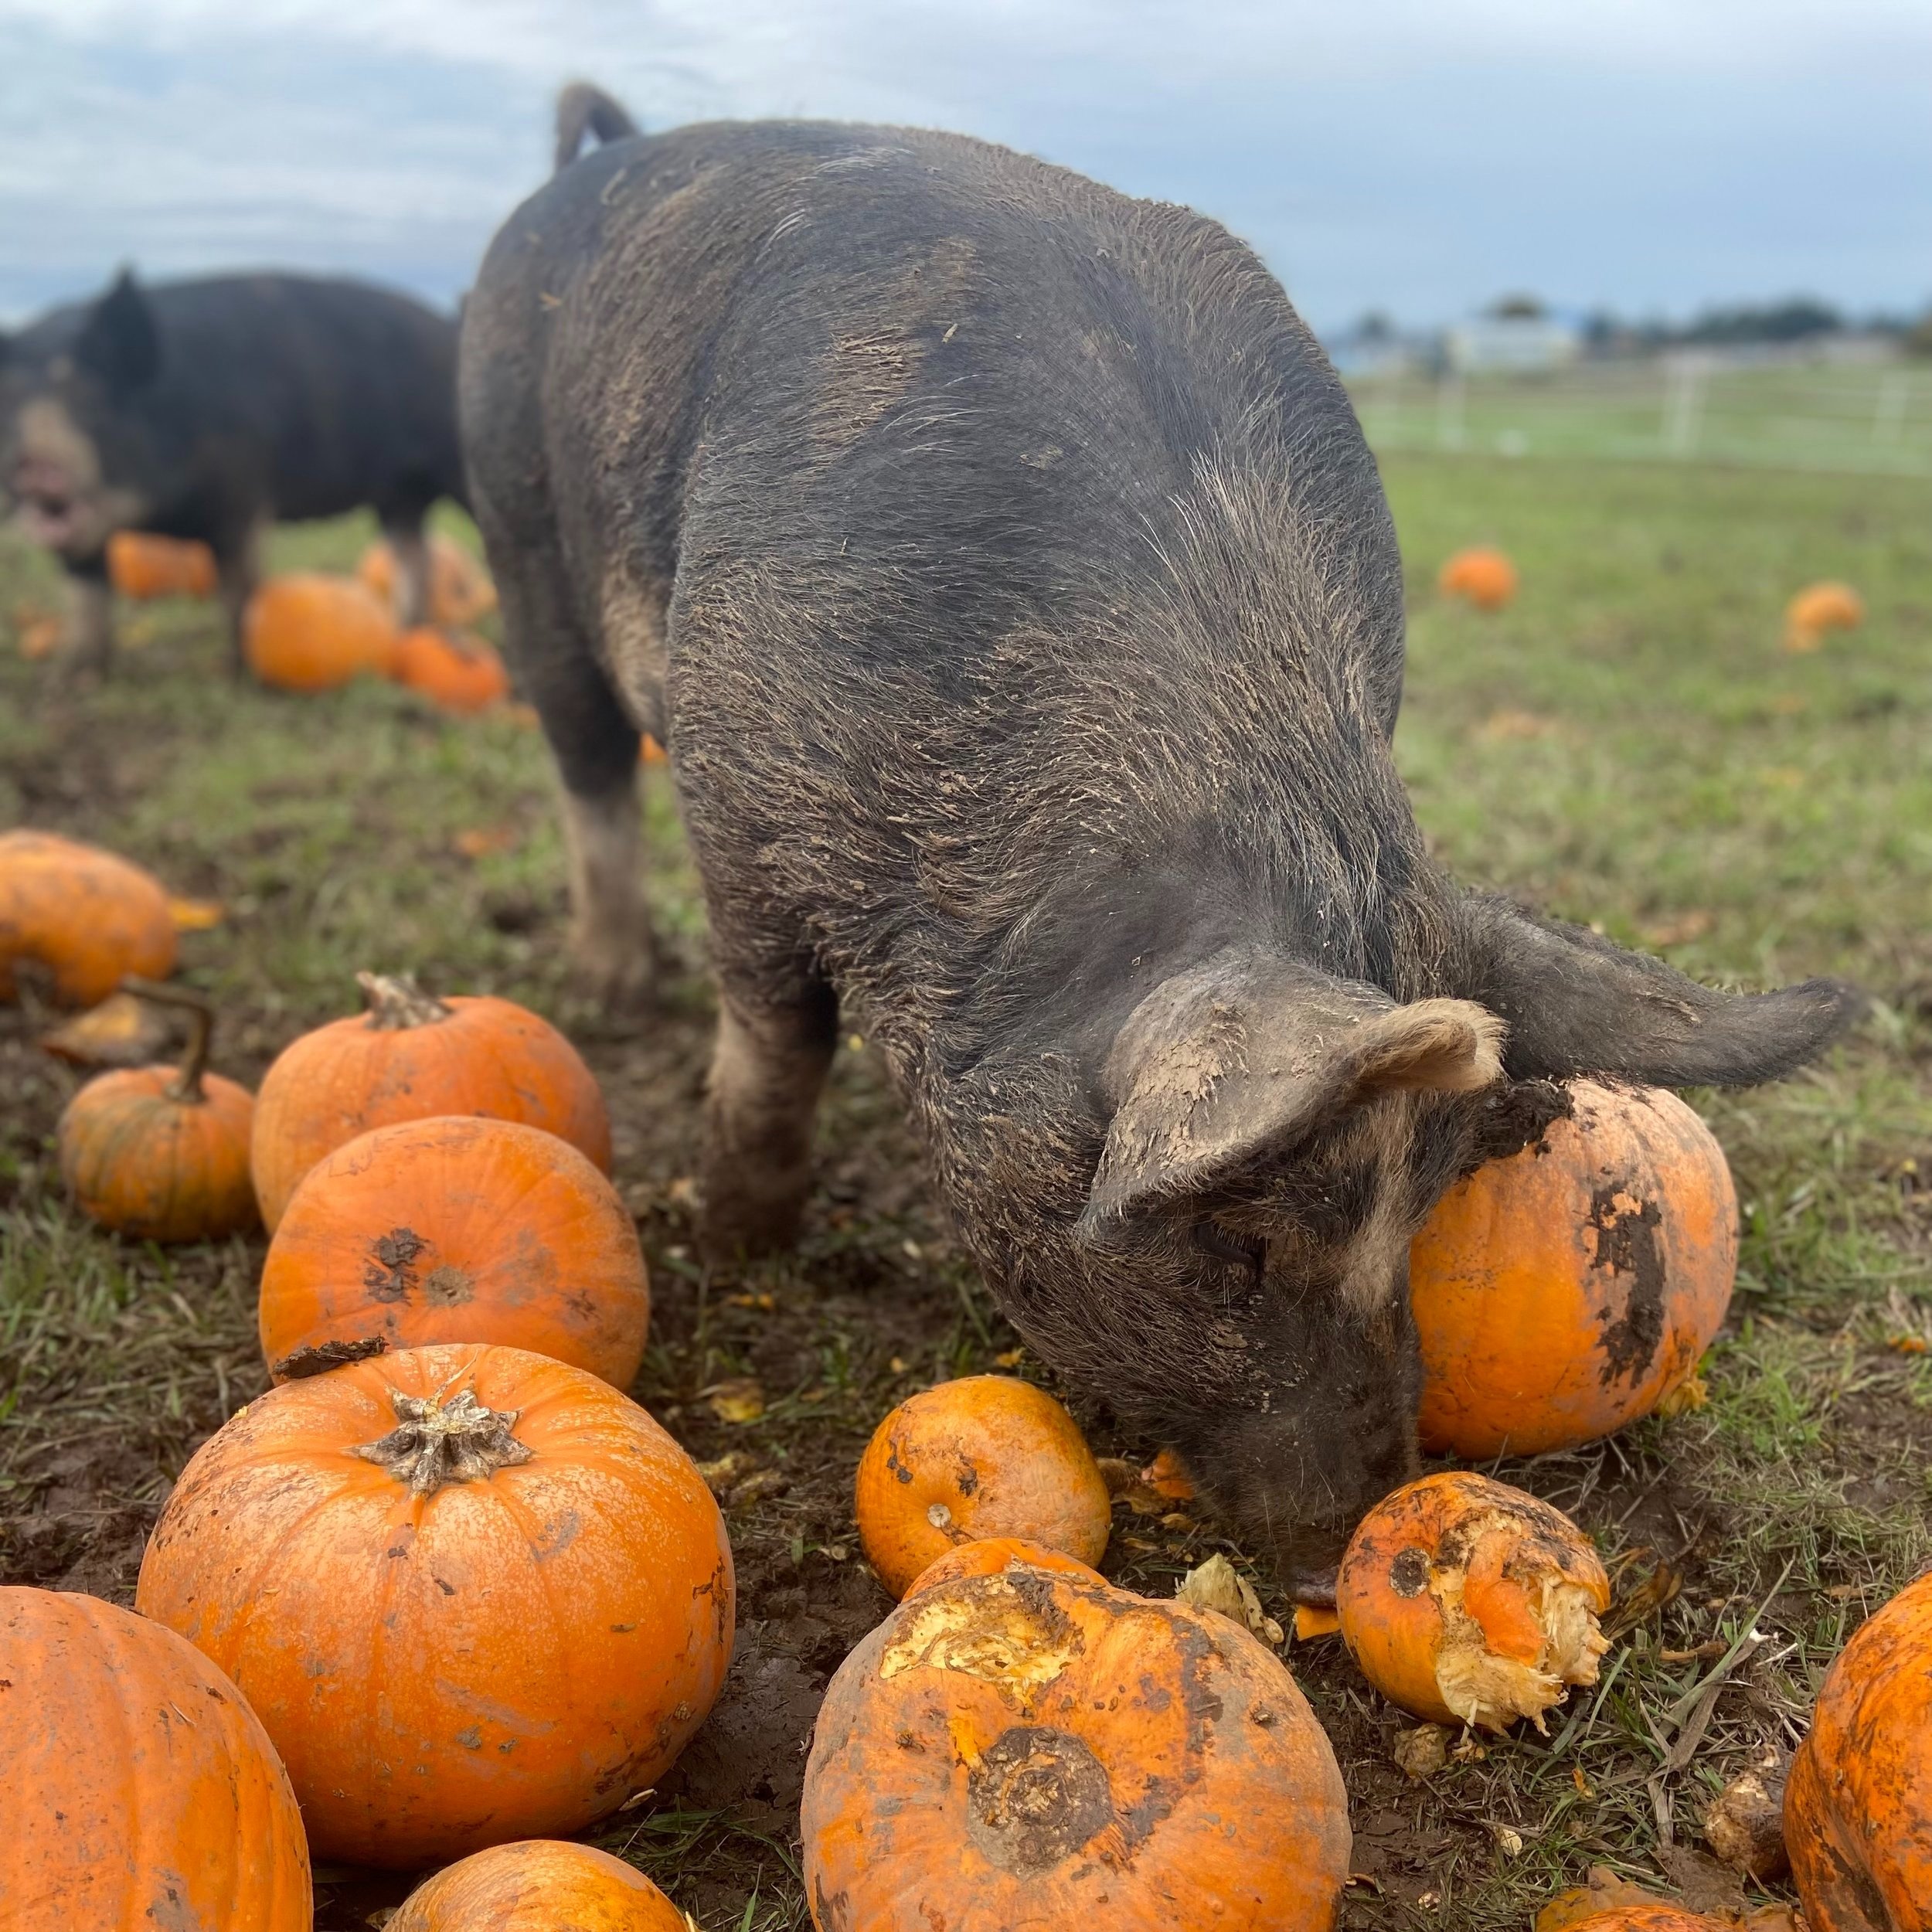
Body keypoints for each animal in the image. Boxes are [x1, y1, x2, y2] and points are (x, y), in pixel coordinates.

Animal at [0, 269, 465, 675]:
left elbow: (239, 591)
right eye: (11, 414)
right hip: (399, 496)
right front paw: (74, 676)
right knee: (414, 554)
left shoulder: (241, 498)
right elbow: (86, 596)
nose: (35, 461)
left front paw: (240, 674)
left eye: (94, 406)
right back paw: (411, 630)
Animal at [459, 90, 1857, 1598]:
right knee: (587, 765)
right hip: (519, 533)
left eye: (1429, 1211)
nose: (1349, 1526)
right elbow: (777, 1042)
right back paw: (614, 987)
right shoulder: (740, 793)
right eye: (1242, 1245)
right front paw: (740, 1239)